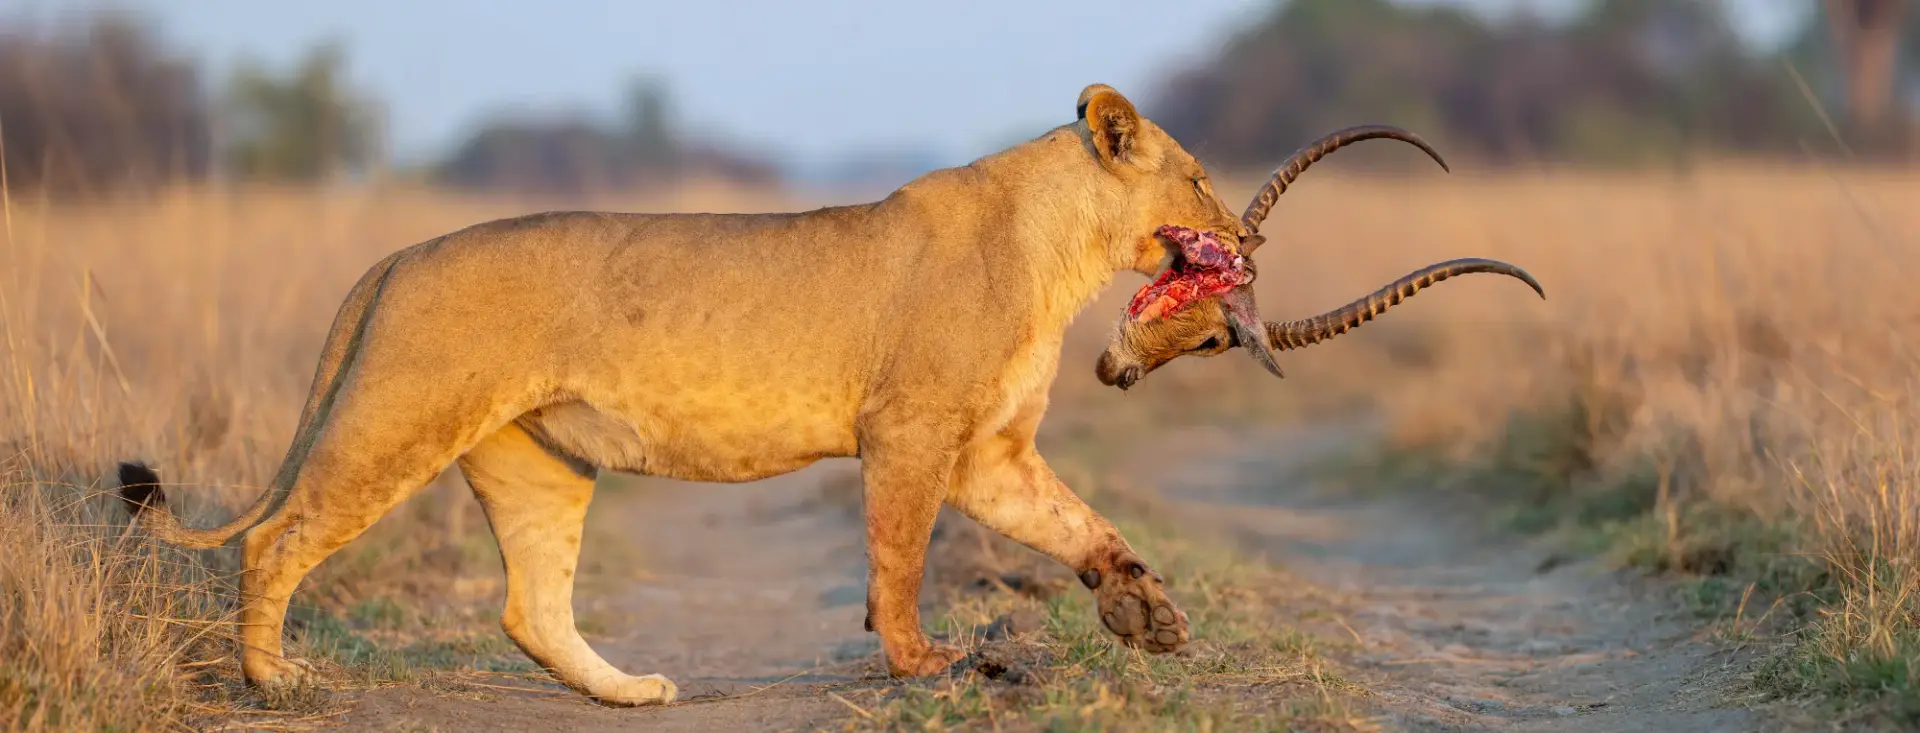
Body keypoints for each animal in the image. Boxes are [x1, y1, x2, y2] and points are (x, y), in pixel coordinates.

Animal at [116, 84, 1280, 707]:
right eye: (1199, 178)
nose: (1250, 242)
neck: (1059, 254)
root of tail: (398, 255)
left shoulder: (989, 451)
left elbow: (1080, 522)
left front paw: (1146, 609)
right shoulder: (909, 429)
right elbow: (898, 555)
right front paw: (922, 661)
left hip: (540, 461)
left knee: (531, 606)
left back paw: (629, 691)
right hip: (396, 419)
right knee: (277, 540)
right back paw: (274, 680)